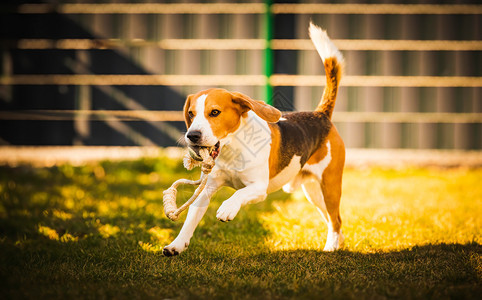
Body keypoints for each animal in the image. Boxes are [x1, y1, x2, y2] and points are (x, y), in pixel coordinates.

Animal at [164, 22, 344, 255]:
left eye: (214, 112)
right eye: (191, 114)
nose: (192, 135)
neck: (233, 150)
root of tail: (321, 114)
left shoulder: (259, 189)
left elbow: (239, 194)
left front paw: (227, 208)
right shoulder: (208, 189)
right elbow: (190, 219)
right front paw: (176, 245)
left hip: (329, 187)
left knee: (336, 219)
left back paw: (331, 247)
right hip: (314, 193)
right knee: (334, 220)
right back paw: (337, 243)